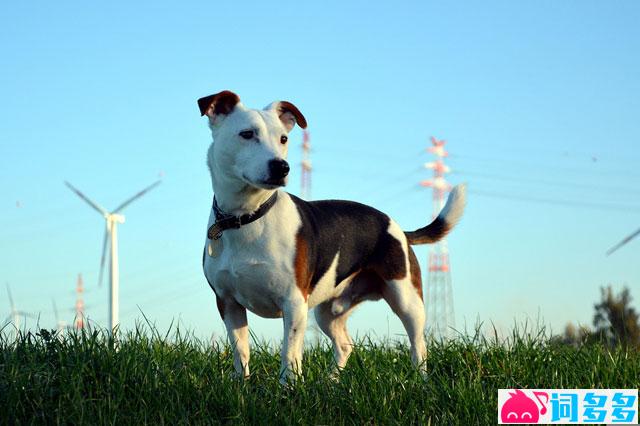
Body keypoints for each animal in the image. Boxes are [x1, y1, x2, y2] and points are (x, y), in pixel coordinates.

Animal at [199, 90, 464, 382]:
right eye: (246, 134)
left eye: (283, 138)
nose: (281, 167)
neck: (247, 217)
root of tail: (397, 228)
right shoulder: (227, 302)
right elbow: (240, 351)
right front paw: (241, 384)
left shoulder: (294, 303)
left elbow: (289, 353)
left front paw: (288, 387)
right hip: (327, 311)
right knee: (345, 345)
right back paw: (332, 381)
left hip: (407, 299)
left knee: (418, 344)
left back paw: (420, 380)